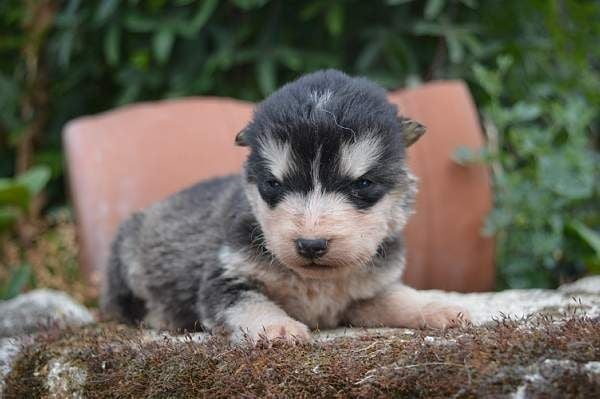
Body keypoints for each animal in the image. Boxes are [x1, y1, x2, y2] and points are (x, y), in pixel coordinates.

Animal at [102, 69, 468, 344]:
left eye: (362, 184)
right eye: (274, 184)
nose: (311, 245)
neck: (316, 283)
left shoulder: (368, 293)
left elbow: (401, 297)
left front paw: (439, 308)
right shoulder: (224, 278)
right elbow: (249, 303)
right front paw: (277, 327)